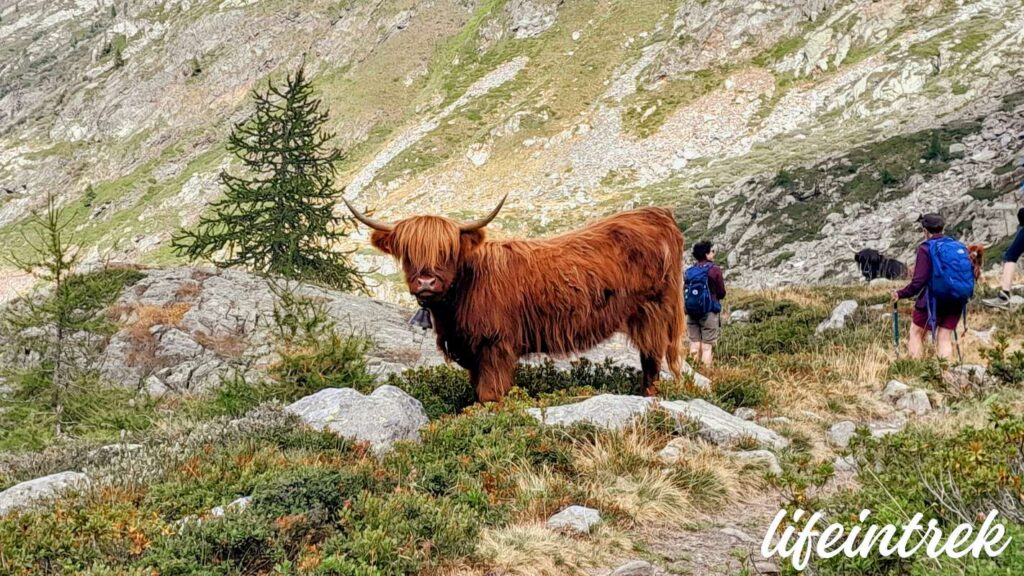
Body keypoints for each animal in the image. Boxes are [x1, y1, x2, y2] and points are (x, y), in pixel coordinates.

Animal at [346, 194, 688, 401]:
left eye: (448, 252)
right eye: (407, 253)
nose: (426, 281)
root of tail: (657, 214)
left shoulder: (495, 346)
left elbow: (490, 394)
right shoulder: (473, 352)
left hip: (654, 312)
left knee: (653, 360)